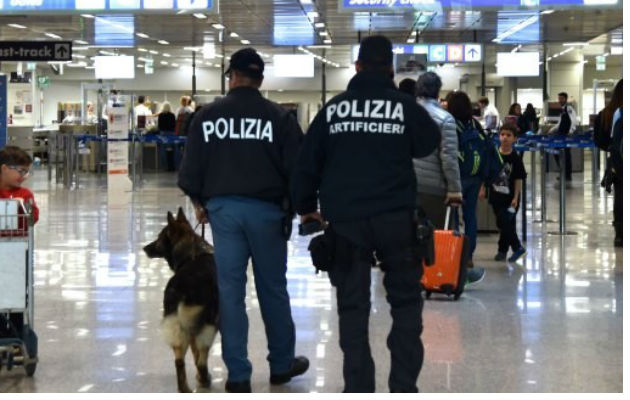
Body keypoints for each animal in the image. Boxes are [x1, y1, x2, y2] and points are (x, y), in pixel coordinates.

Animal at [144, 209, 221, 394]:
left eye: (158, 238)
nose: (144, 248)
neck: (193, 253)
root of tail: (182, 286)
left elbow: (193, 354)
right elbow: (198, 356)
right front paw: (202, 378)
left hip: (180, 326)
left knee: (179, 361)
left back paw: (186, 387)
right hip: (208, 325)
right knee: (202, 359)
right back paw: (204, 380)